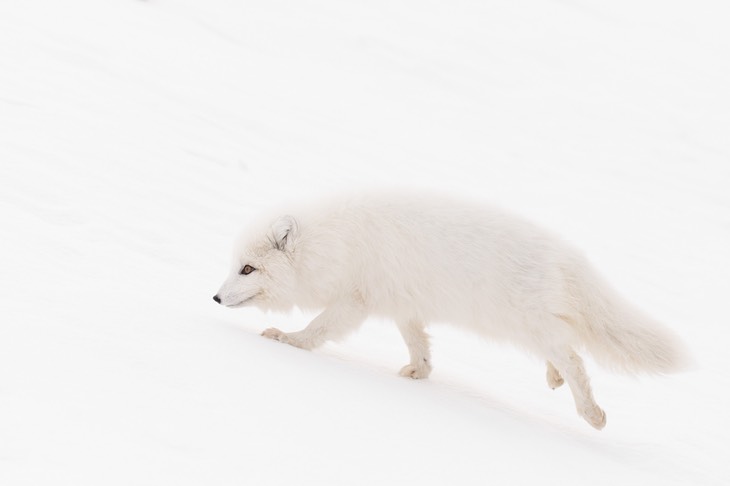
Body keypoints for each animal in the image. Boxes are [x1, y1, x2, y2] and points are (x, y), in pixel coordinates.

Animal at [212, 194, 688, 430]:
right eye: (234, 264)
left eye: (248, 268)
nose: (215, 298)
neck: (332, 240)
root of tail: (567, 256)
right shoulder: (401, 302)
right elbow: (417, 342)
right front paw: (419, 373)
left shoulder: (355, 299)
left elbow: (318, 328)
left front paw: (286, 340)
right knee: (563, 350)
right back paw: (554, 379)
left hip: (524, 322)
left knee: (574, 358)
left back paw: (592, 414)